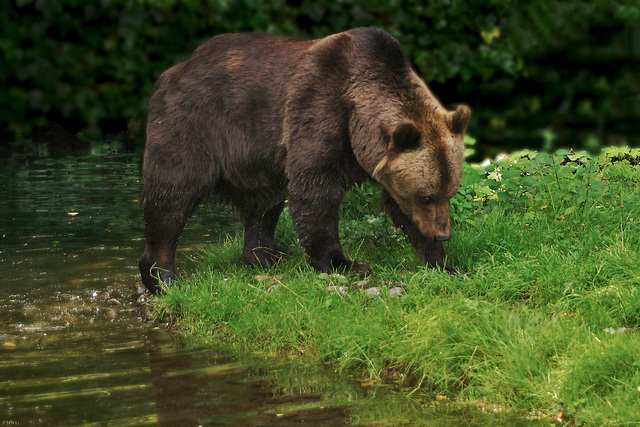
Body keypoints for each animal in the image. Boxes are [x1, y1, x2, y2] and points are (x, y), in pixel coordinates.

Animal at [140, 27, 470, 294]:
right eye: (426, 195)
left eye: (448, 193)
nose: (443, 234)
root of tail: (175, 71)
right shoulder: (318, 111)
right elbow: (315, 193)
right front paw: (344, 262)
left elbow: (399, 207)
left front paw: (446, 264)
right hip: (192, 128)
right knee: (171, 197)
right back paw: (162, 276)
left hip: (259, 160)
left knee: (263, 204)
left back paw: (265, 254)